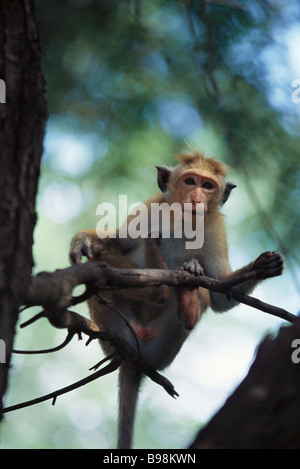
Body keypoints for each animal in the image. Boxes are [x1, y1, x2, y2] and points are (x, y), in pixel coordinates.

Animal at [69, 149, 284, 446]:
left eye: (208, 185)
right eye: (190, 181)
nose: (196, 197)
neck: (186, 221)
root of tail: (134, 355)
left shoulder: (215, 228)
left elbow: (221, 296)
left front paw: (262, 266)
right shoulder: (149, 209)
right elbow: (117, 242)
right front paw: (83, 240)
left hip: (162, 350)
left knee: (200, 289)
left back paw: (188, 297)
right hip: (116, 329)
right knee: (102, 261)